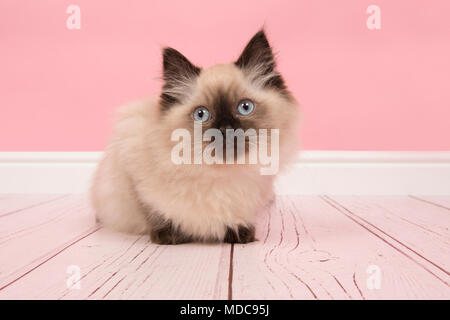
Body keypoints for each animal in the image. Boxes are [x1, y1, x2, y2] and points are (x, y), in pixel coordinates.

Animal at [90, 30, 298, 245]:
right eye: (201, 114)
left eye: (245, 107)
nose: (225, 129)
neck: (216, 174)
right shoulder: (134, 176)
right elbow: (155, 212)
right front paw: (169, 235)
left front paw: (239, 233)